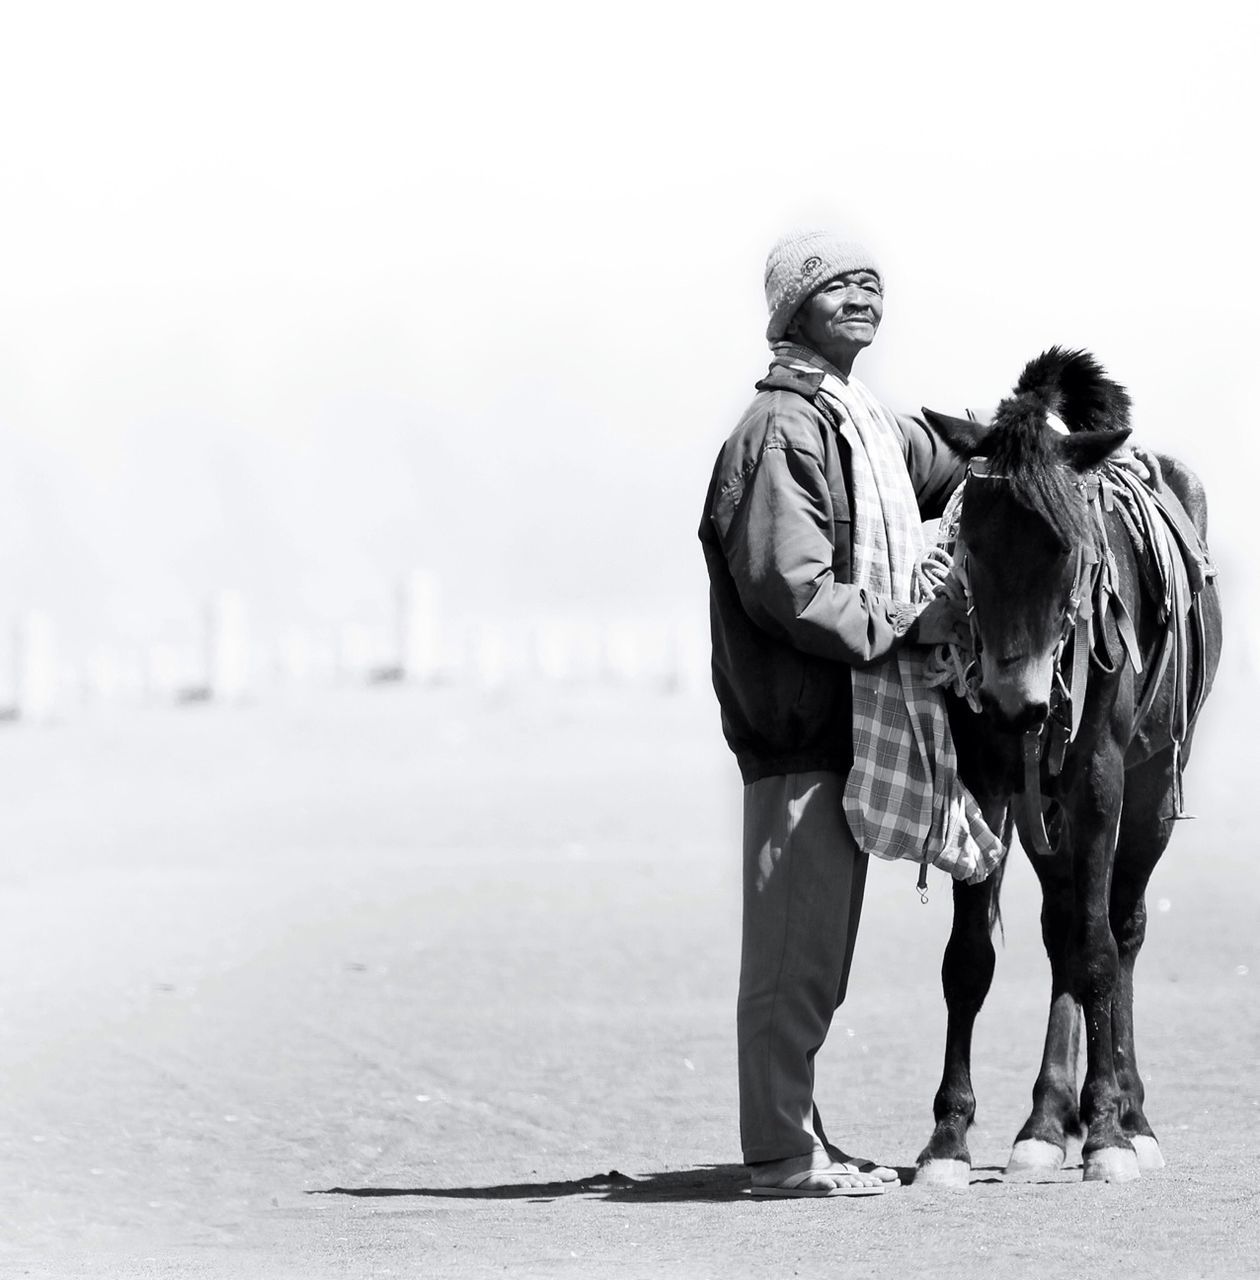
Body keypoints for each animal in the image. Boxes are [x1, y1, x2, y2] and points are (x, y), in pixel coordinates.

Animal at [911, 345, 1213, 1182]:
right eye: (969, 545)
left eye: (1070, 548)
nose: (1015, 702)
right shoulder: (990, 781)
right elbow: (969, 958)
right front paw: (948, 1138)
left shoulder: (1100, 782)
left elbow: (1101, 950)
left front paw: (1108, 1131)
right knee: (1061, 930)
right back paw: (1047, 1120)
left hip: (1149, 790)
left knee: (1119, 927)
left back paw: (1128, 1117)